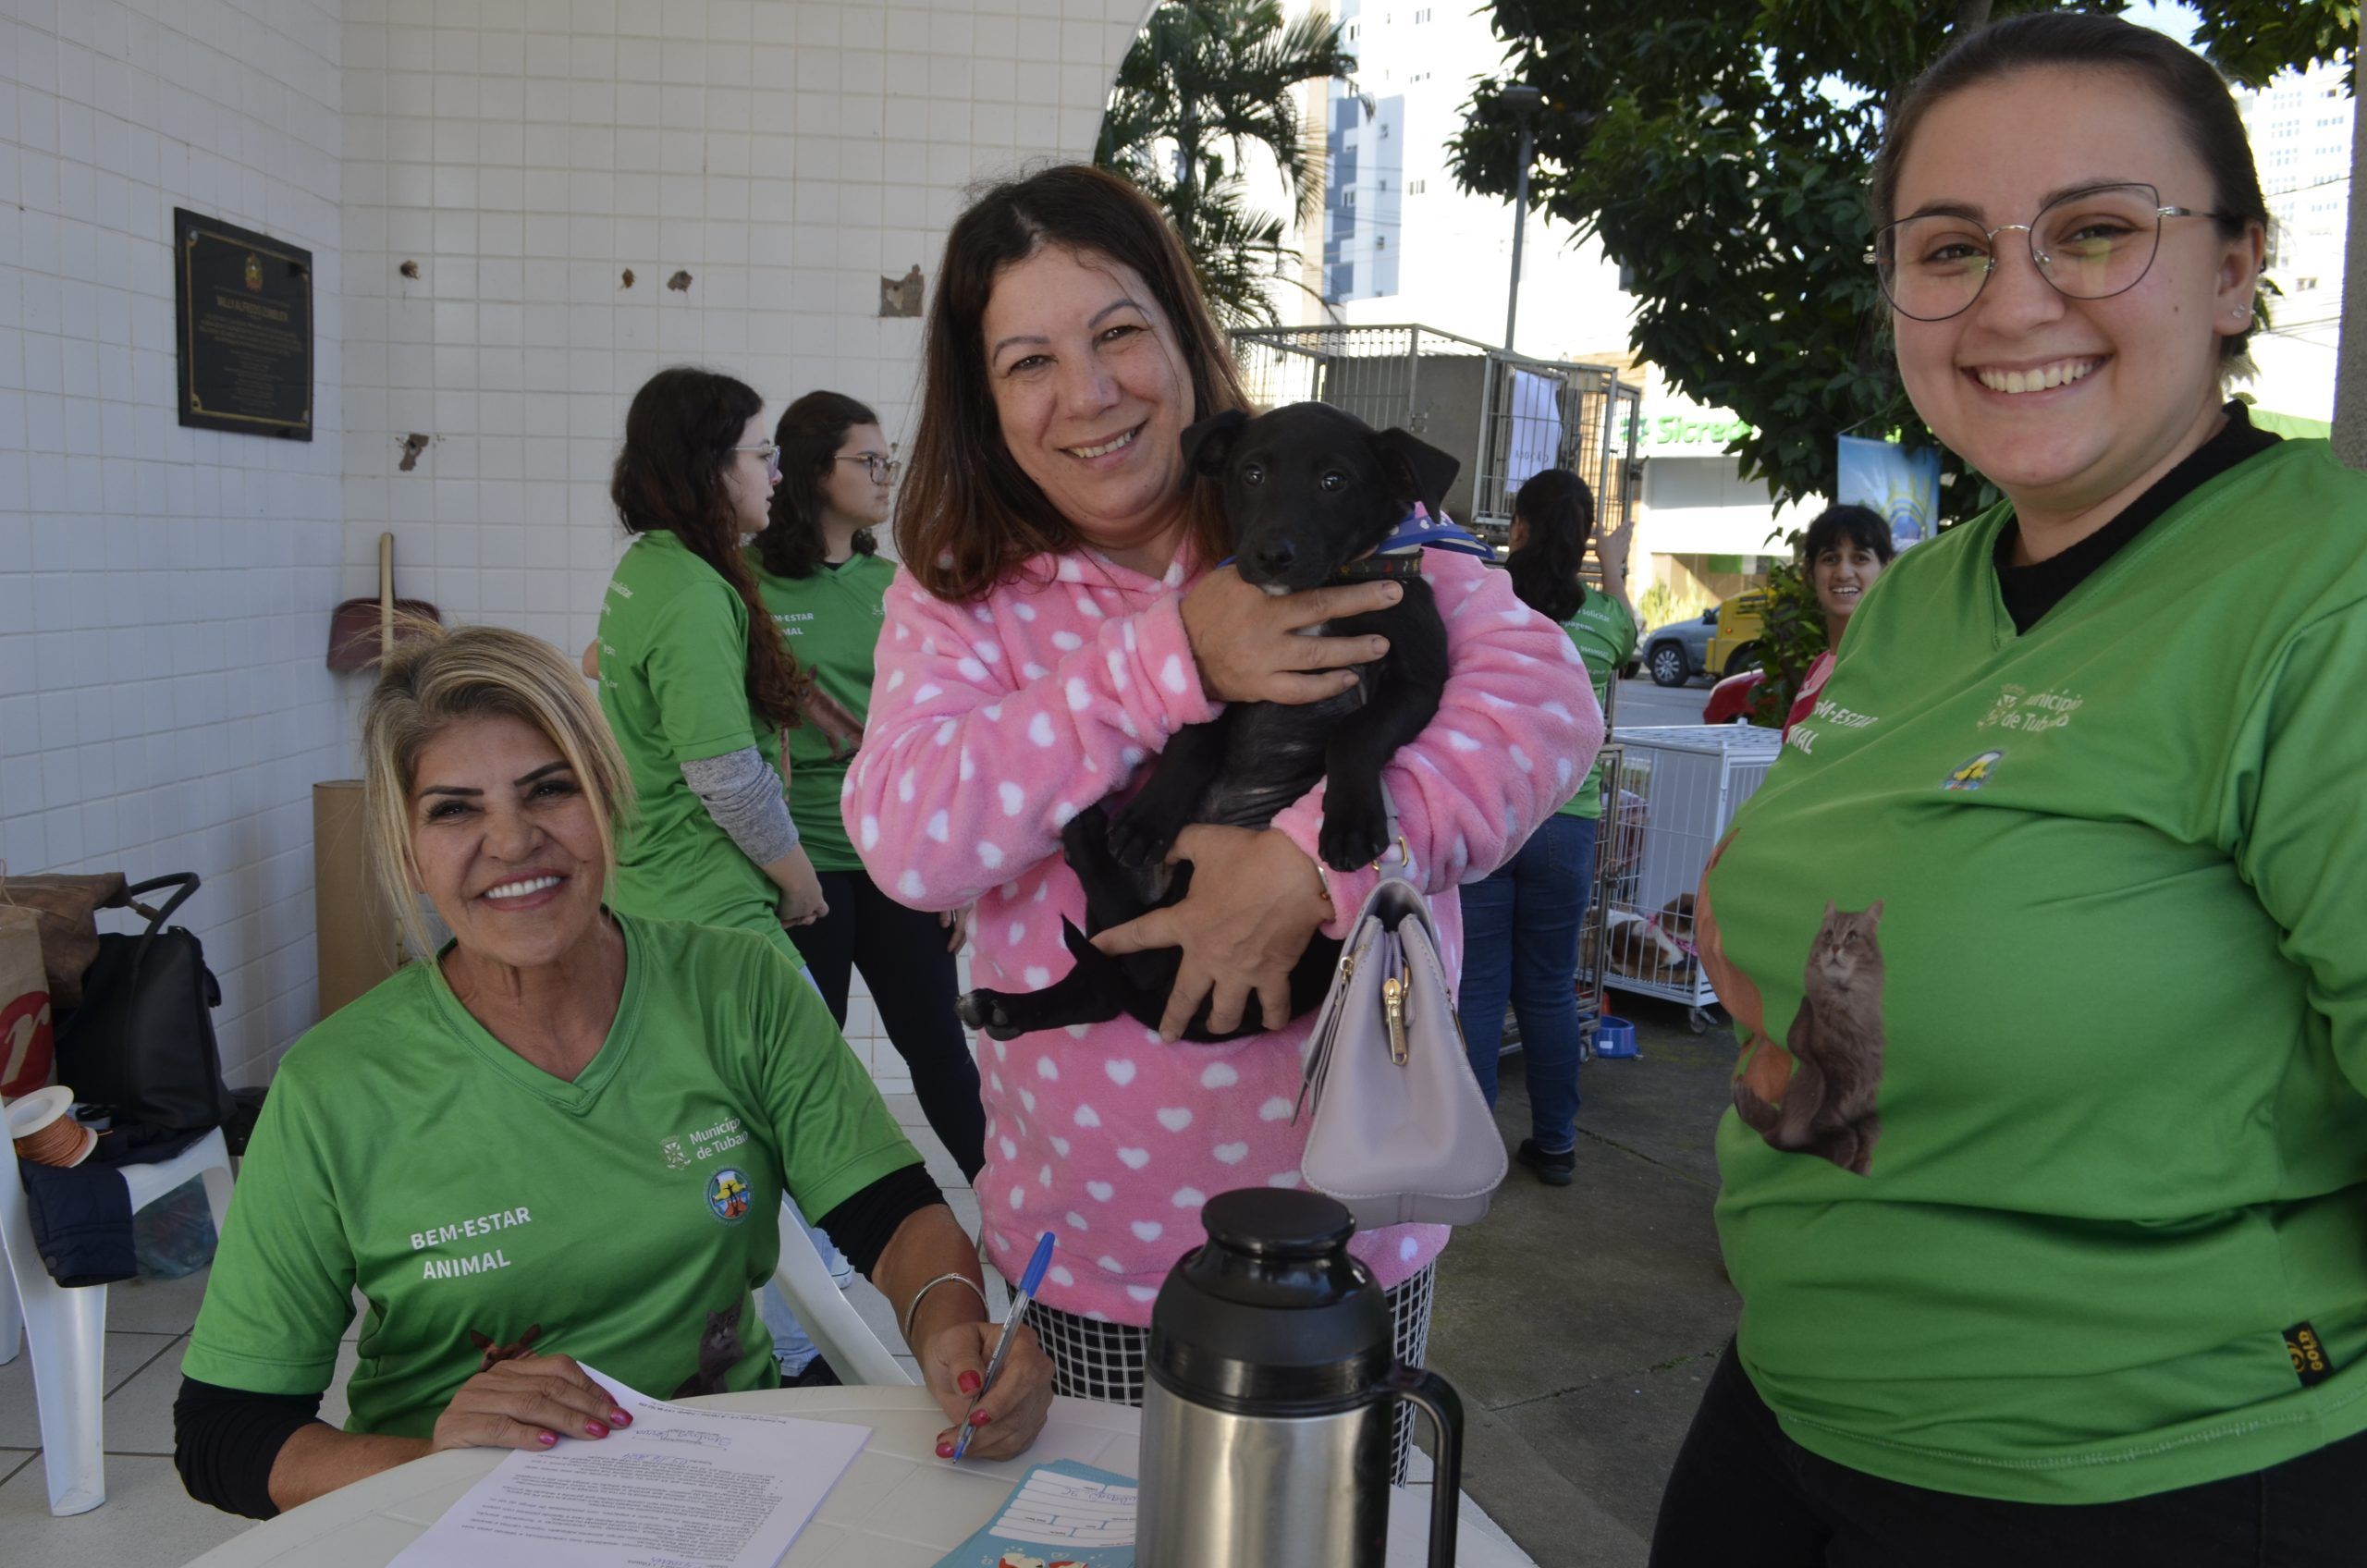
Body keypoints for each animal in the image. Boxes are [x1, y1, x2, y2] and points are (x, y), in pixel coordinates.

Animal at [961, 405, 1457, 1042]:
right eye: (1251, 475)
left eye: (1334, 481)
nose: (1271, 554)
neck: (1323, 589)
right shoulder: (1226, 668)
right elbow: (1194, 735)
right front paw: (1148, 818)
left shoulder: (1416, 681)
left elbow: (1356, 733)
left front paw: (1349, 822)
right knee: (1107, 976)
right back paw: (1012, 993)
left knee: (1123, 975)